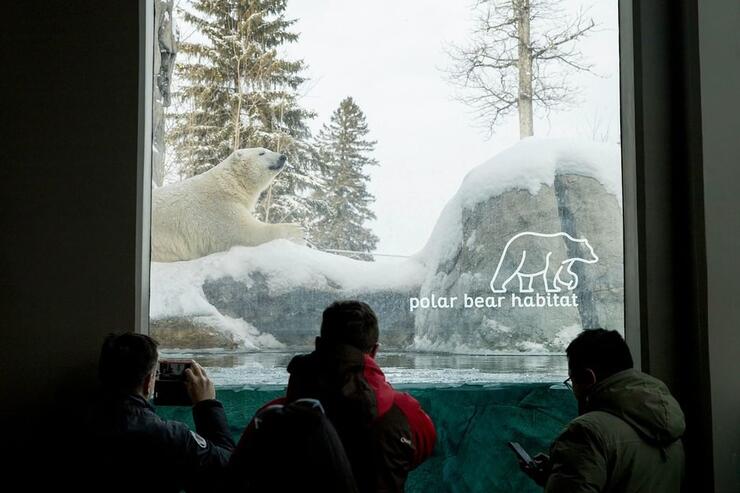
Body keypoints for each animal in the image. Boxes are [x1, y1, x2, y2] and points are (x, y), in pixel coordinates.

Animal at [152, 147, 304, 260]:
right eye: (262, 152)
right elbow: (245, 232)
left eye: (268, 149)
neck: (228, 184)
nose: (283, 157)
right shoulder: (217, 208)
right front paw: (297, 230)